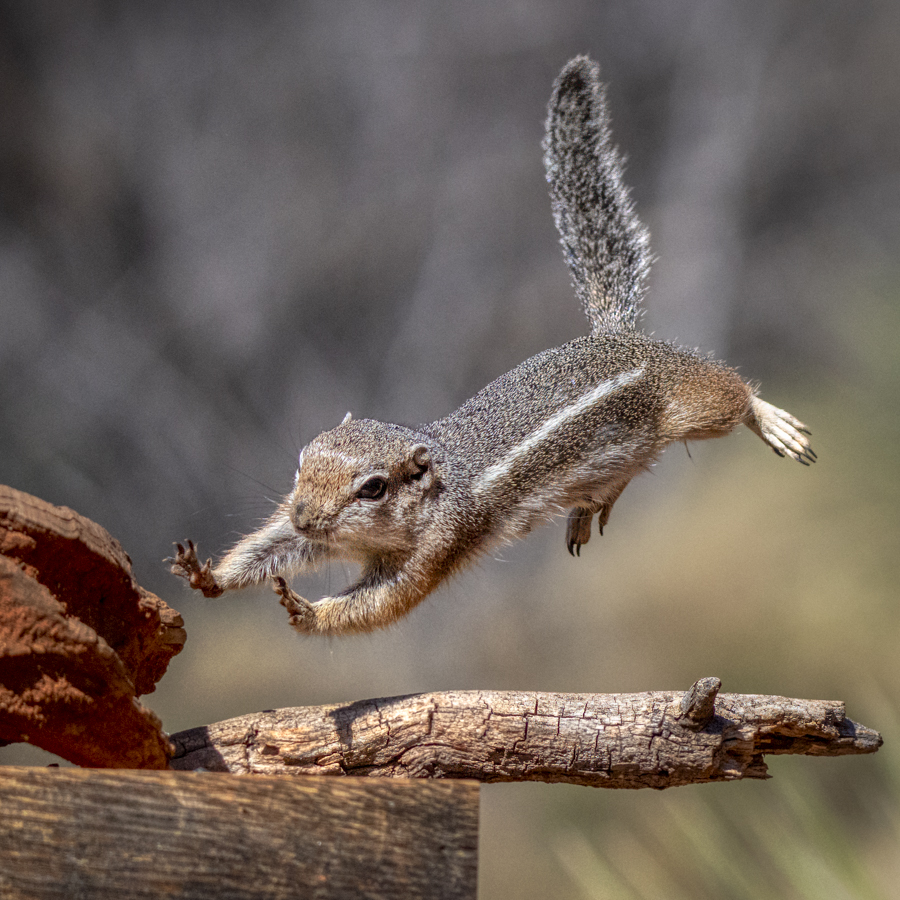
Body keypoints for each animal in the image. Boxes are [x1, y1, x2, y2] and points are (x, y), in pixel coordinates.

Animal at [169, 56, 815, 636]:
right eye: (302, 463)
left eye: (373, 488)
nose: (305, 515)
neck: (440, 485)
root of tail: (617, 337)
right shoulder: (307, 534)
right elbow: (272, 545)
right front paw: (210, 575)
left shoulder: (440, 544)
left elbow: (384, 603)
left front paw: (308, 611)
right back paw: (587, 510)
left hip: (685, 401)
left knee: (731, 395)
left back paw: (771, 421)